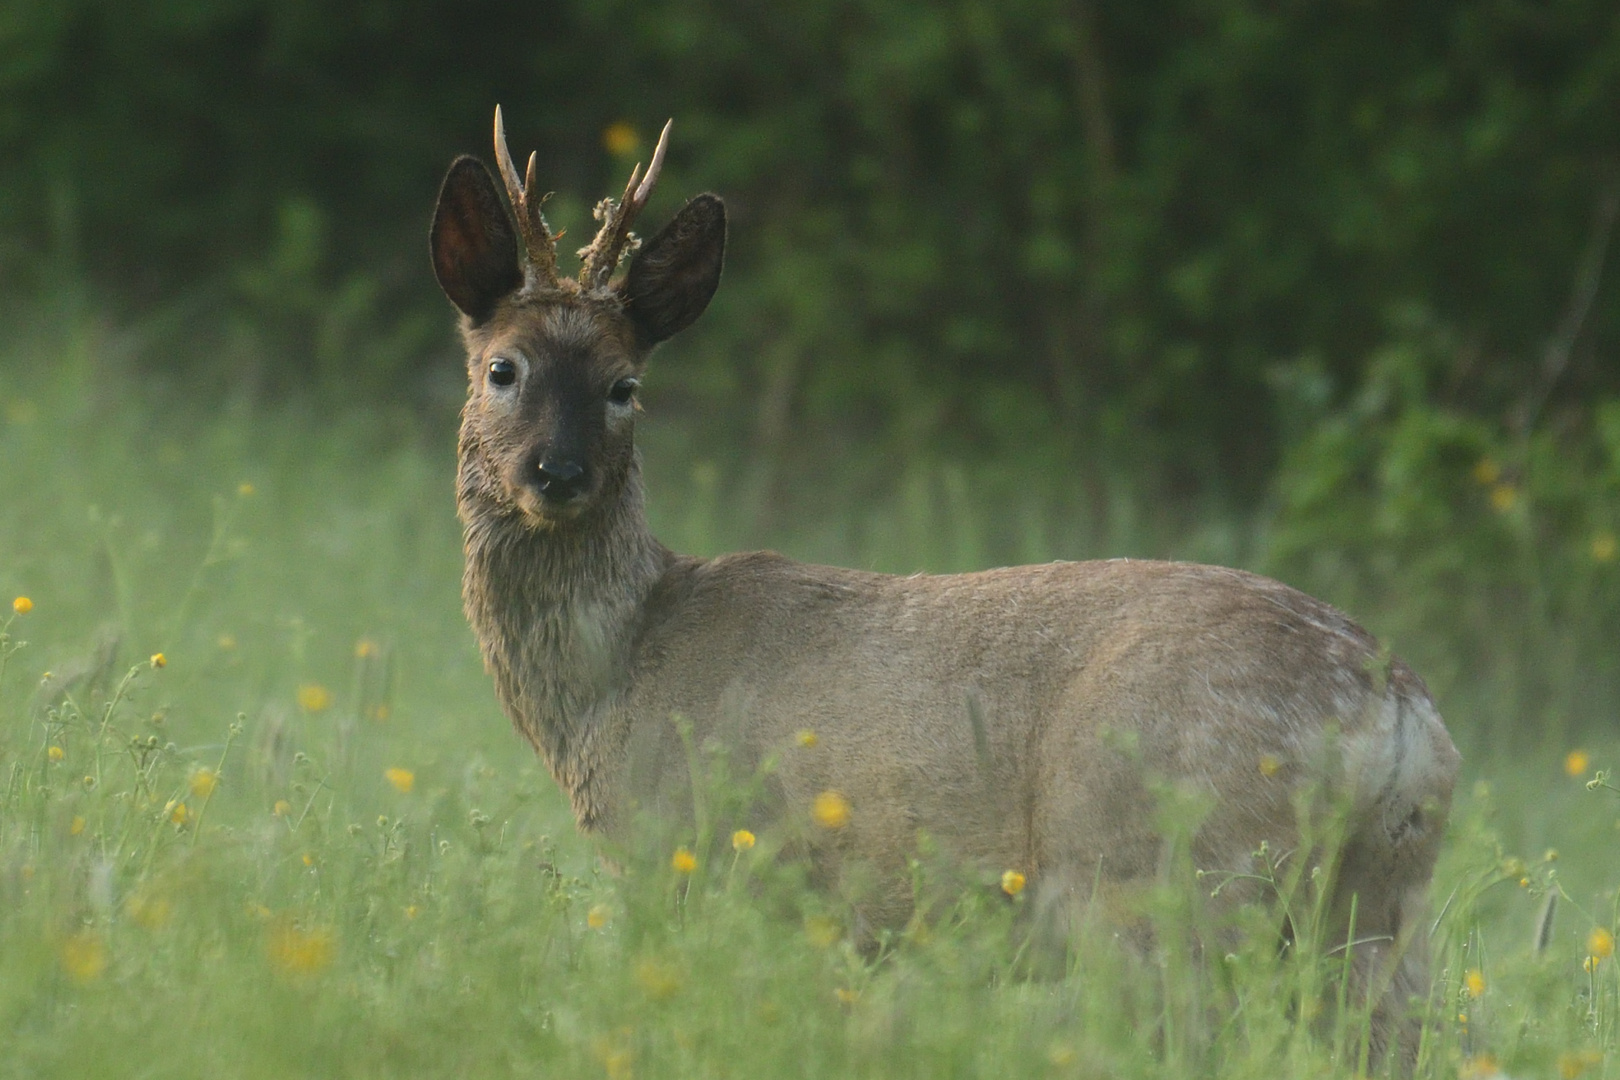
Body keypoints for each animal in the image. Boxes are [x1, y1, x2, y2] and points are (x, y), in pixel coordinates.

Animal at [437, 110, 1464, 1055]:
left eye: (625, 387)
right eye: (503, 367)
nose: (558, 473)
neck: (614, 675)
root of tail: (1395, 712)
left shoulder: (699, 863)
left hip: (1163, 875)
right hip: (1380, 906)